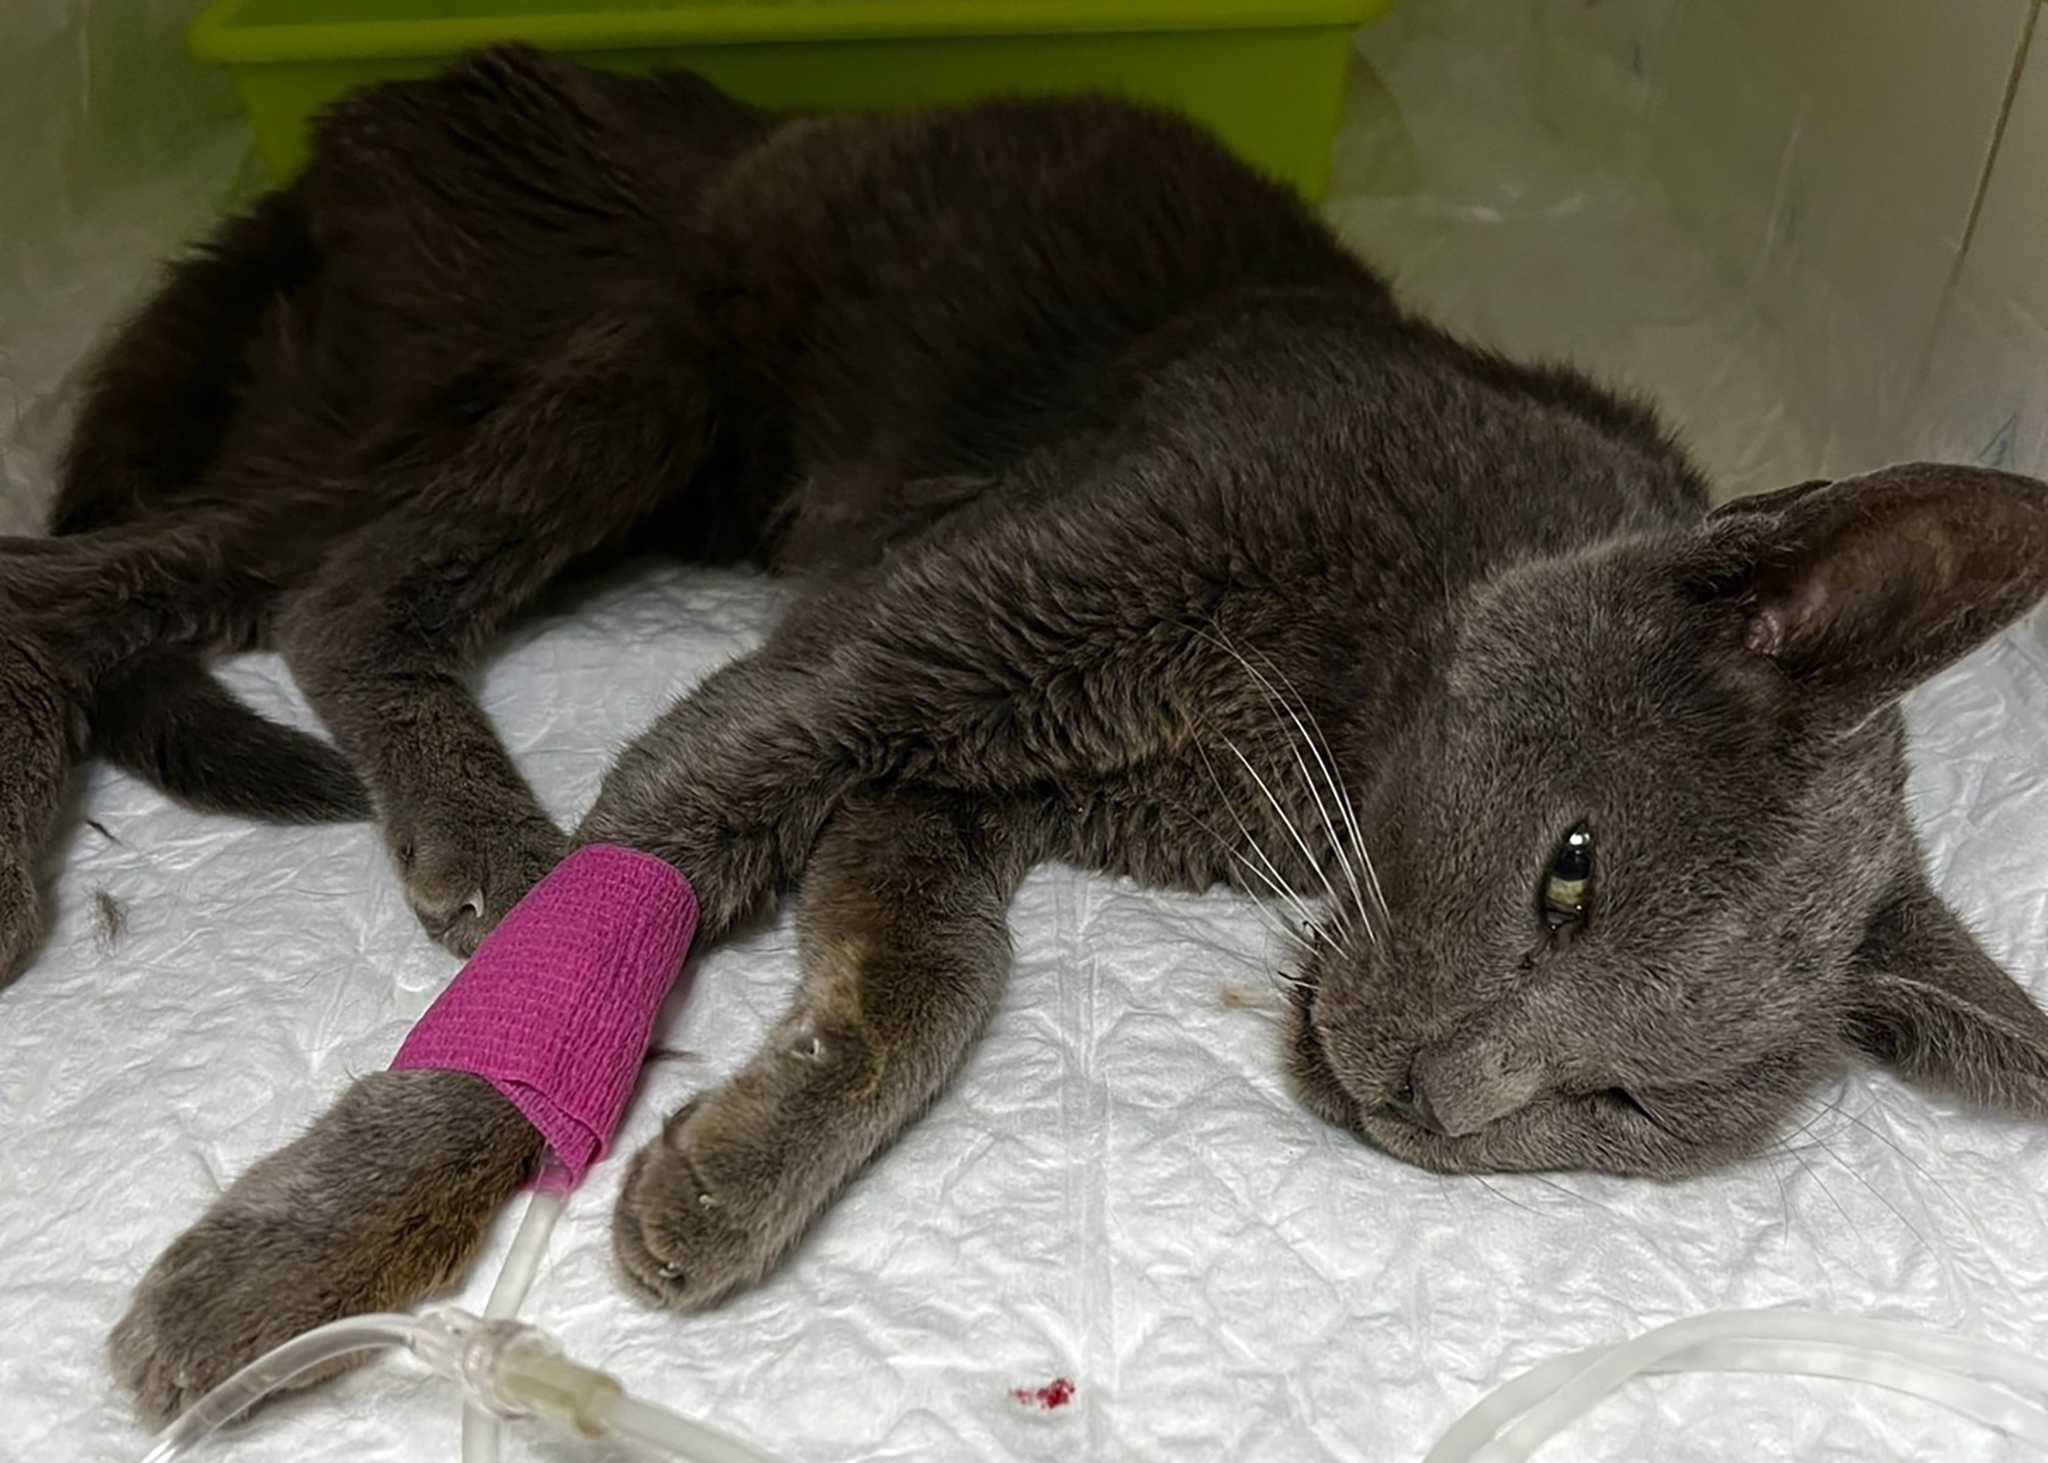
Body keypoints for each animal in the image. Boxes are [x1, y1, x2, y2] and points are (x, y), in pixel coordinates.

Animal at [36, 48, 2048, 1426]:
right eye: (1569, 876)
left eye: (1632, 1106)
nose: (1425, 1107)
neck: (1304, 719)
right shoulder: (935, 629)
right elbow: (649, 884)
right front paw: (286, 1274)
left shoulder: (963, 771)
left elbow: (934, 978)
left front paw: (728, 1168)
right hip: (619, 357)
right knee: (269, 581)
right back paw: (457, 832)